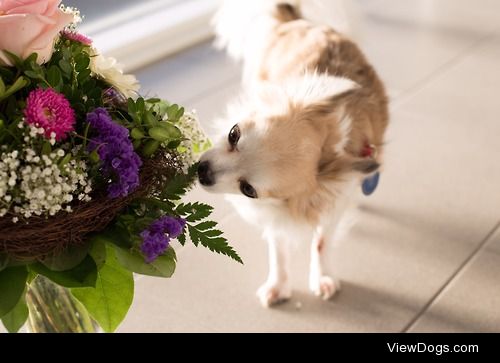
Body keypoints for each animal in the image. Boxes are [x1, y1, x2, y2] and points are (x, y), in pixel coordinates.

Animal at [197, 0, 388, 308]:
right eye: (233, 134)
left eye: (248, 189)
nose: (202, 171)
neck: (330, 139)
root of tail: (296, 19)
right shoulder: (277, 216)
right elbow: (278, 245)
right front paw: (278, 283)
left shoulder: (333, 201)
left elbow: (321, 241)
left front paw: (322, 276)